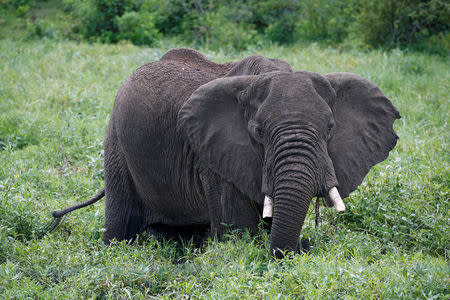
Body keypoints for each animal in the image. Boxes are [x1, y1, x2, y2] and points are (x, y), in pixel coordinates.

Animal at [51, 47, 400, 258]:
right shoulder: (215, 159)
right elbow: (239, 234)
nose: (305, 246)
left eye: (330, 127)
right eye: (258, 132)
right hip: (116, 142)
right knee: (120, 226)